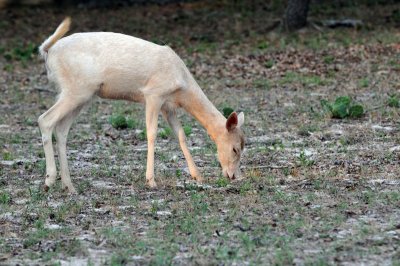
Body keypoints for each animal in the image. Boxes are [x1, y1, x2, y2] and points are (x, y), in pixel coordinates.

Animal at [38, 18, 244, 193]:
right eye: (235, 148)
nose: (233, 176)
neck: (182, 87)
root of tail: (48, 51)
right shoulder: (153, 94)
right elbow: (152, 133)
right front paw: (150, 180)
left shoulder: (168, 106)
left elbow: (181, 135)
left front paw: (197, 176)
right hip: (76, 89)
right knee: (45, 119)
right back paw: (49, 180)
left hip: (82, 94)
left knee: (61, 129)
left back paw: (69, 185)